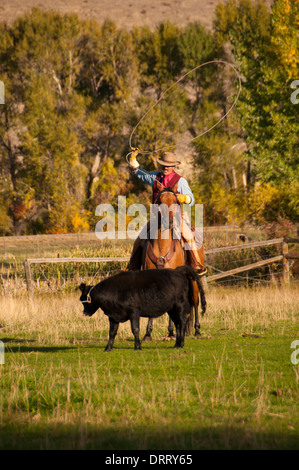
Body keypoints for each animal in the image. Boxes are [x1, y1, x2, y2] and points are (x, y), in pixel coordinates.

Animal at [78, 266, 207, 350]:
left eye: (83, 300)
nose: (84, 313)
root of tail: (178, 271)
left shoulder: (134, 312)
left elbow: (135, 329)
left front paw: (137, 346)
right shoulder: (113, 316)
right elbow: (112, 332)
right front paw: (108, 348)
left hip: (180, 306)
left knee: (182, 322)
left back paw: (181, 344)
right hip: (172, 309)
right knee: (178, 324)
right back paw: (177, 344)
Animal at [141, 182, 206, 340]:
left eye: (176, 201)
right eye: (159, 201)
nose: (168, 222)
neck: (162, 247)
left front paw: (171, 332)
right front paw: (147, 333)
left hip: (194, 278)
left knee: (195, 302)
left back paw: (197, 330)